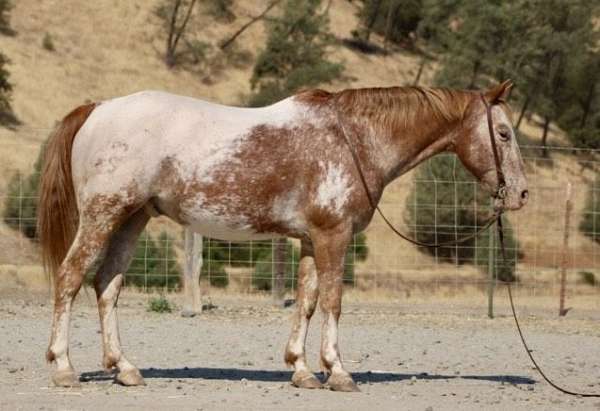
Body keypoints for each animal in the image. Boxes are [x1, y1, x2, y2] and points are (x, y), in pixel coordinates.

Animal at [37, 80, 528, 392]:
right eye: (503, 133)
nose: (521, 193)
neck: (351, 139)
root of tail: (97, 109)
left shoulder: (311, 239)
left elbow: (307, 302)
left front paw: (302, 371)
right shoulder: (333, 235)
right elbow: (333, 301)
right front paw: (338, 372)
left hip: (131, 218)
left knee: (107, 286)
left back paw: (124, 369)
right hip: (103, 215)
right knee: (70, 277)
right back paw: (63, 367)